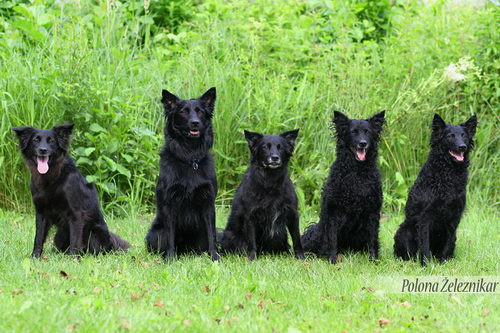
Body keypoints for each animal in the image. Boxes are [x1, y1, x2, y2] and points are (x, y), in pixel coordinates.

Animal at [13, 124, 131, 256]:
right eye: (35, 140)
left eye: (51, 141)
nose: (43, 150)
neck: (52, 177)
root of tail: (111, 243)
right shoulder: (41, 212)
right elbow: (38, 237)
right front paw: (35, 256)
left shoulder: (76, 213)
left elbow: (75, 239)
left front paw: (73, 258)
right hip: (59, 235)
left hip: (93, 234)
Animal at [146, 87, 221, 260]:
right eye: (183, 112)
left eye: (200, 112)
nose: (195, 123)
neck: (190, 158)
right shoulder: (170, 203)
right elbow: (170, 236)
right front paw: (170, 258)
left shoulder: (208, 203)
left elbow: (211, 235)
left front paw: (214, 256)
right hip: (155, 234)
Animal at [220, 128, 304, 260]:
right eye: (265, 147)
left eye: (280, 147)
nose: (275, 158)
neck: (270, 181)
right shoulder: (250, 215)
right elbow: (251, 241)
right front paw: (252, 258)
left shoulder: (292, 213)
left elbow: (297, 238)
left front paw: (300, 257)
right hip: (231, 235)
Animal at [300, 110, 386, 264]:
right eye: (353, 132)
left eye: (367, 132)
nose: (362, 143)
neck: (357, 172)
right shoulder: (333, 212)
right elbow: (332, 240)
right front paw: (332, 260)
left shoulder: (373, 212)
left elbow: (373, 239)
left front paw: (373, 259)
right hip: (316, 231)